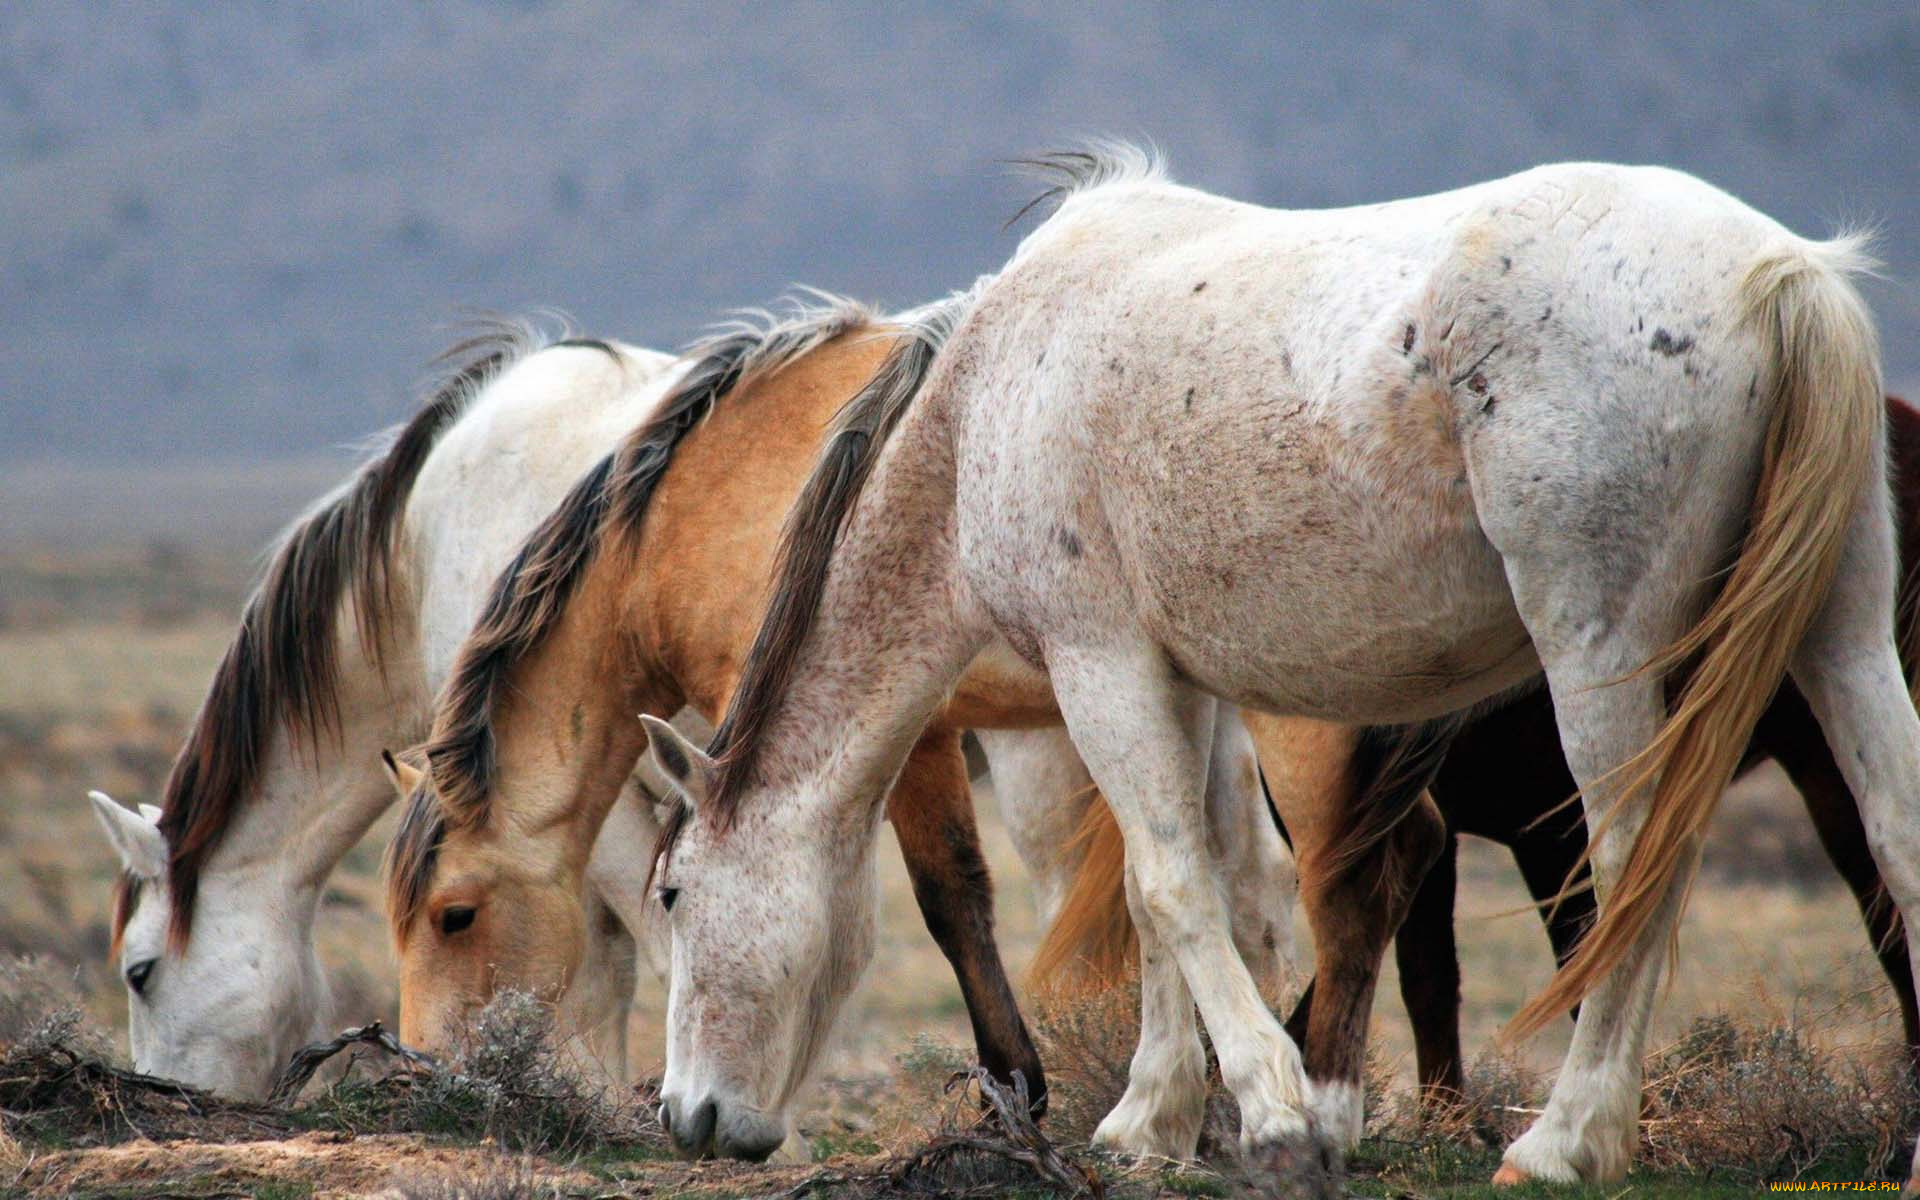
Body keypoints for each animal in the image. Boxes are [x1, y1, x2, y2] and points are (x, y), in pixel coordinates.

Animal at [374, 297, 1305, 1144]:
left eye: (455, 915)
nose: (432, 1078)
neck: (698, 512)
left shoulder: (900, 733)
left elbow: (950, 900)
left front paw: (1011, 1089)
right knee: (1247, 877)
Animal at [637, 143, 1896, 1190]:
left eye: (675, 892)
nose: (687, 1119)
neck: (988, 395)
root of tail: (1784, 274)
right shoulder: (1175, 685)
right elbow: (1178, 891)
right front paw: (1151, 1122)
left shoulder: (1099, 665)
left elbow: (1172, 885)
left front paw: (1274, 1114)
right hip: (1846, 638)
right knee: (1897, 837)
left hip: (1599, 652)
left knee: (1633, 865)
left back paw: (1564, 1142)